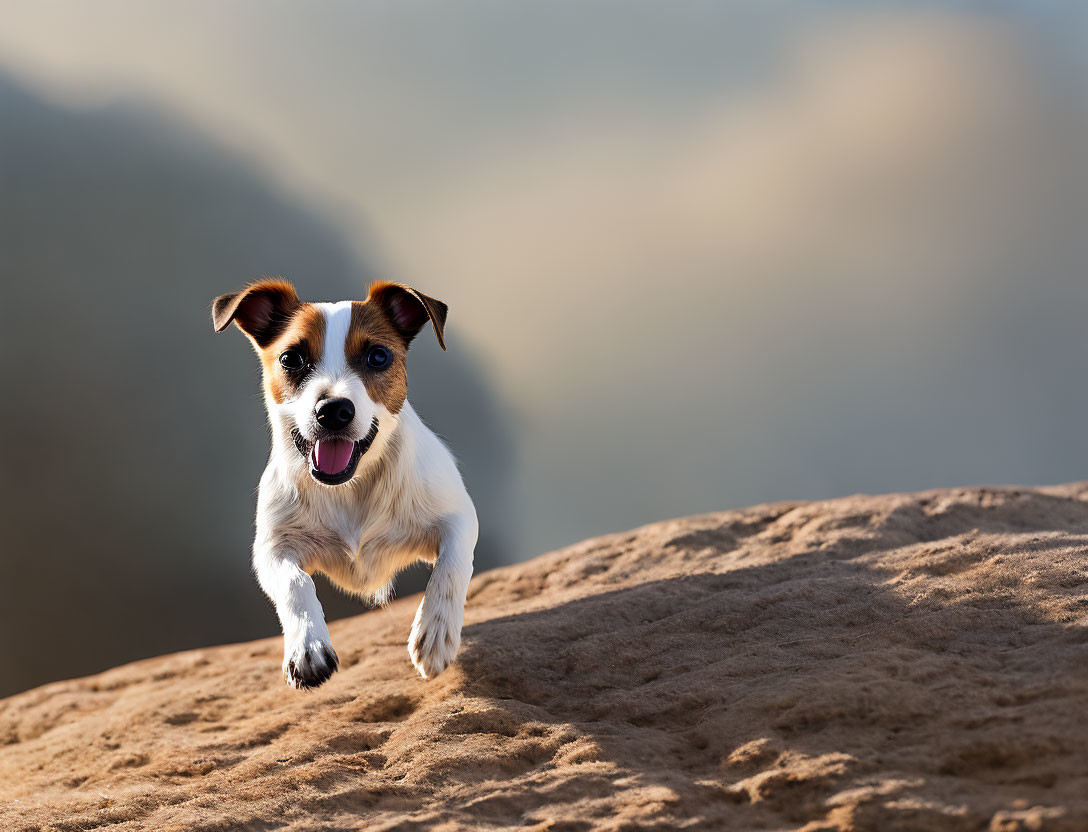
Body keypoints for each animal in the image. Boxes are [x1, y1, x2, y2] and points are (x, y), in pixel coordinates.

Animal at [212, 278, 476, 687]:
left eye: (378, 357)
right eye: (291, 359)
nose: (333, 410)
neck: (349, 488)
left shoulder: (459, 517)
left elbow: (451, 567)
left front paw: (436, 632)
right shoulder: (272, 548)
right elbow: (295, 583)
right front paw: (307, 648)